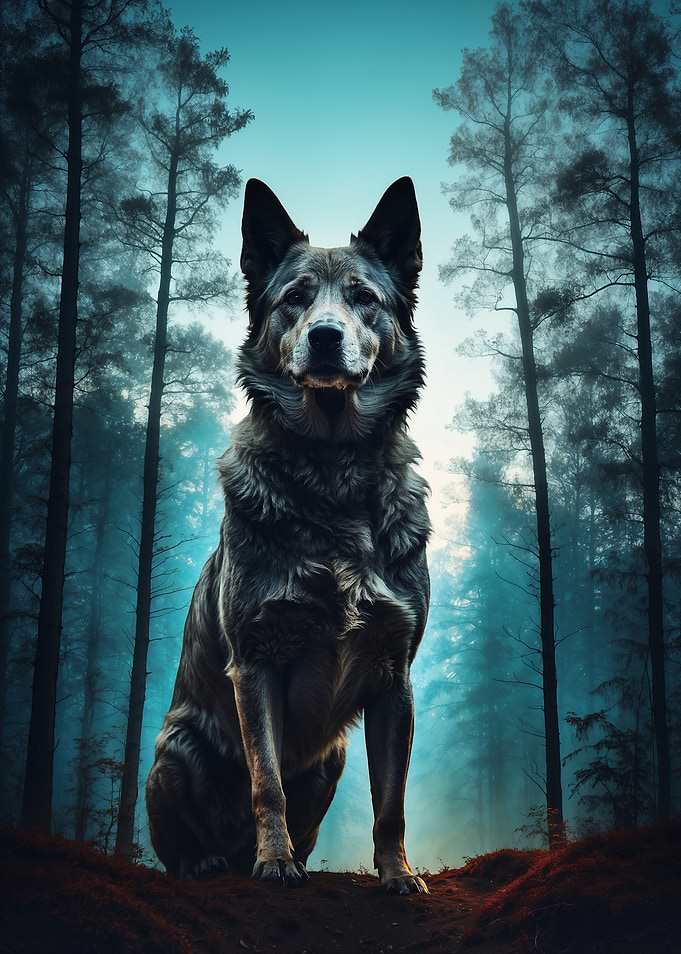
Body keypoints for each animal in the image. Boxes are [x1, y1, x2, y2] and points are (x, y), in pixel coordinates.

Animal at [146, 177, 431, 895]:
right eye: (295, 297)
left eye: (363, 298)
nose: (325, 337)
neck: (331, 474)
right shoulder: (256, 661)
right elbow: (266, 780)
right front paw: (272, 865)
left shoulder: (395, 677)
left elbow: (391, 801)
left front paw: (397, 874)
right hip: (175, 752)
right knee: (187, 843)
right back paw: (215, 861)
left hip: (331, 760)